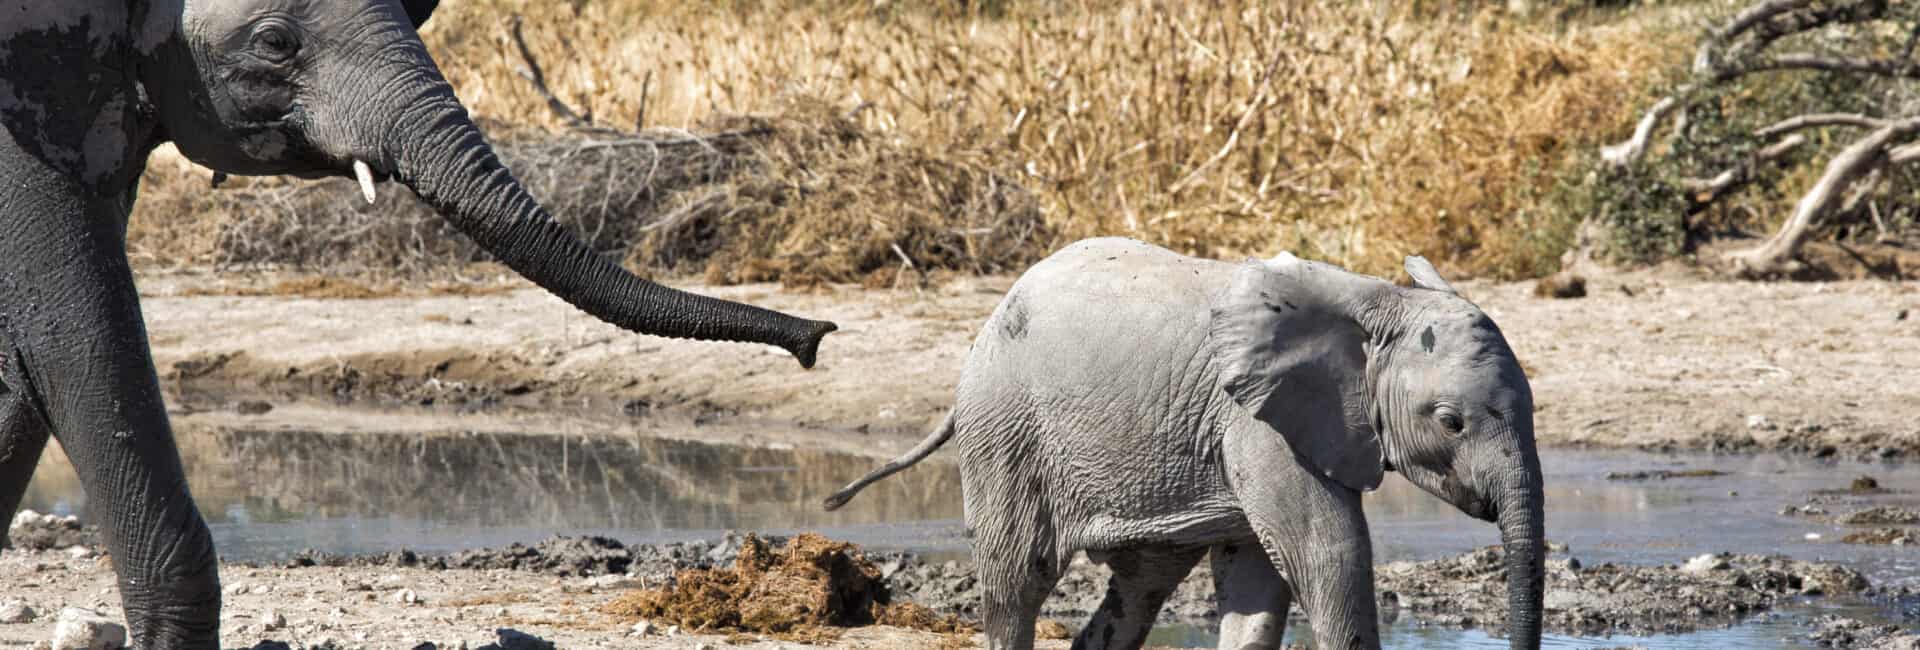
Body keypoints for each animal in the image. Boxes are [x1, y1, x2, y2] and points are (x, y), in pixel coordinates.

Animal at [825, 240, 1543, 650]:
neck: (1377, 299)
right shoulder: (1257, 421)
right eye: (1450, 422)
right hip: (1005, 427)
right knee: (1018, 579)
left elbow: (1259, 587)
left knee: (1141, 587)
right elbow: (1328, 555)